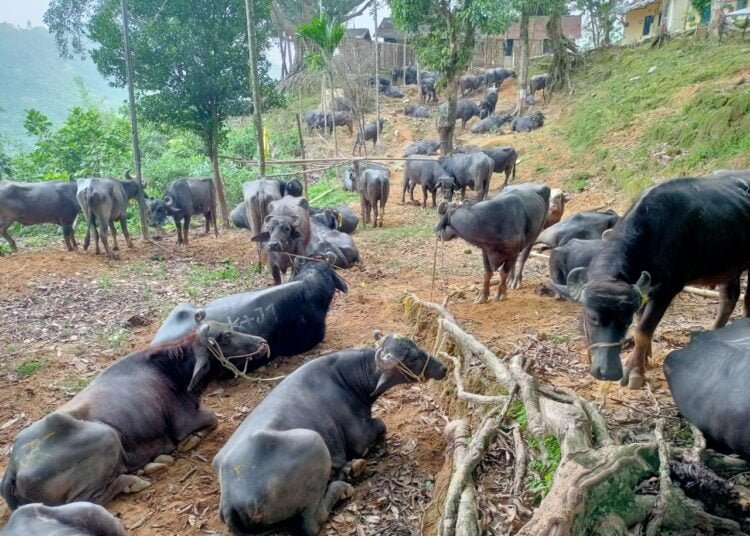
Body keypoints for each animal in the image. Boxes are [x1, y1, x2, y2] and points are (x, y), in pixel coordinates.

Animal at [1, 313, 269, 508]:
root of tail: (14, 467)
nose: (263, 343)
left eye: (229, 327)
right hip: (107, 437)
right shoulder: (184, 422)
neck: (173, 372)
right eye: (225, 336)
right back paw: (134, 480)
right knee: (87, 500)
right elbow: (213, 419)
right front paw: (191, 441)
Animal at [213, 331, 447, 536]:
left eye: (416, 345)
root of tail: (230, 501)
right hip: (314, 441)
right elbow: (381, 426)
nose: (443, 368)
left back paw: (349, 470)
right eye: (413, 358)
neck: (349, 380)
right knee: (311, 522)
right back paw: (343, 484)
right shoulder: (360, 437)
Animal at [552, 175, 750, 389]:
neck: (654, 233)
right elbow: (642, 322)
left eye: (625, 321)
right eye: (592, 318)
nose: (608, 372)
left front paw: (634, 371)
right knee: (729, 299)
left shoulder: (667, 290)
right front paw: (645, 357)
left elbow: (643, 331)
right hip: (731, 268)